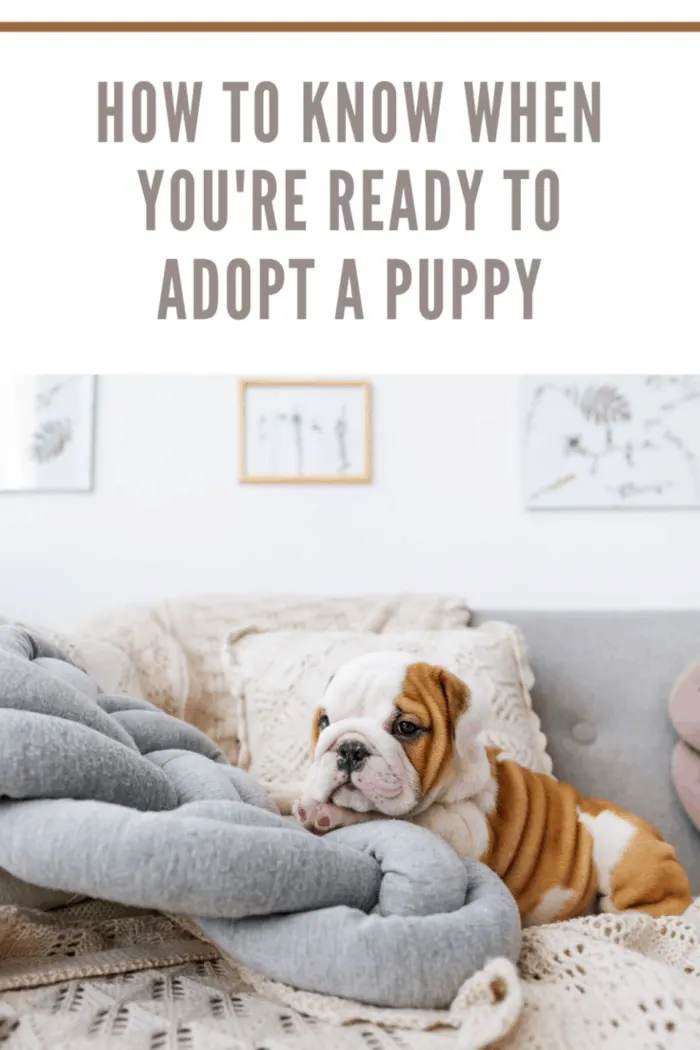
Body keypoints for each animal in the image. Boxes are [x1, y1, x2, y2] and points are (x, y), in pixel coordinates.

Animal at [293, 651, 692, 923]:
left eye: (406, 727)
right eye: (325, 721)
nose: (349, 748)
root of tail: (662, 841)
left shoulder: (466, 833)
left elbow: (401, 819)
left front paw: (327, 813)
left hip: (624, 853)